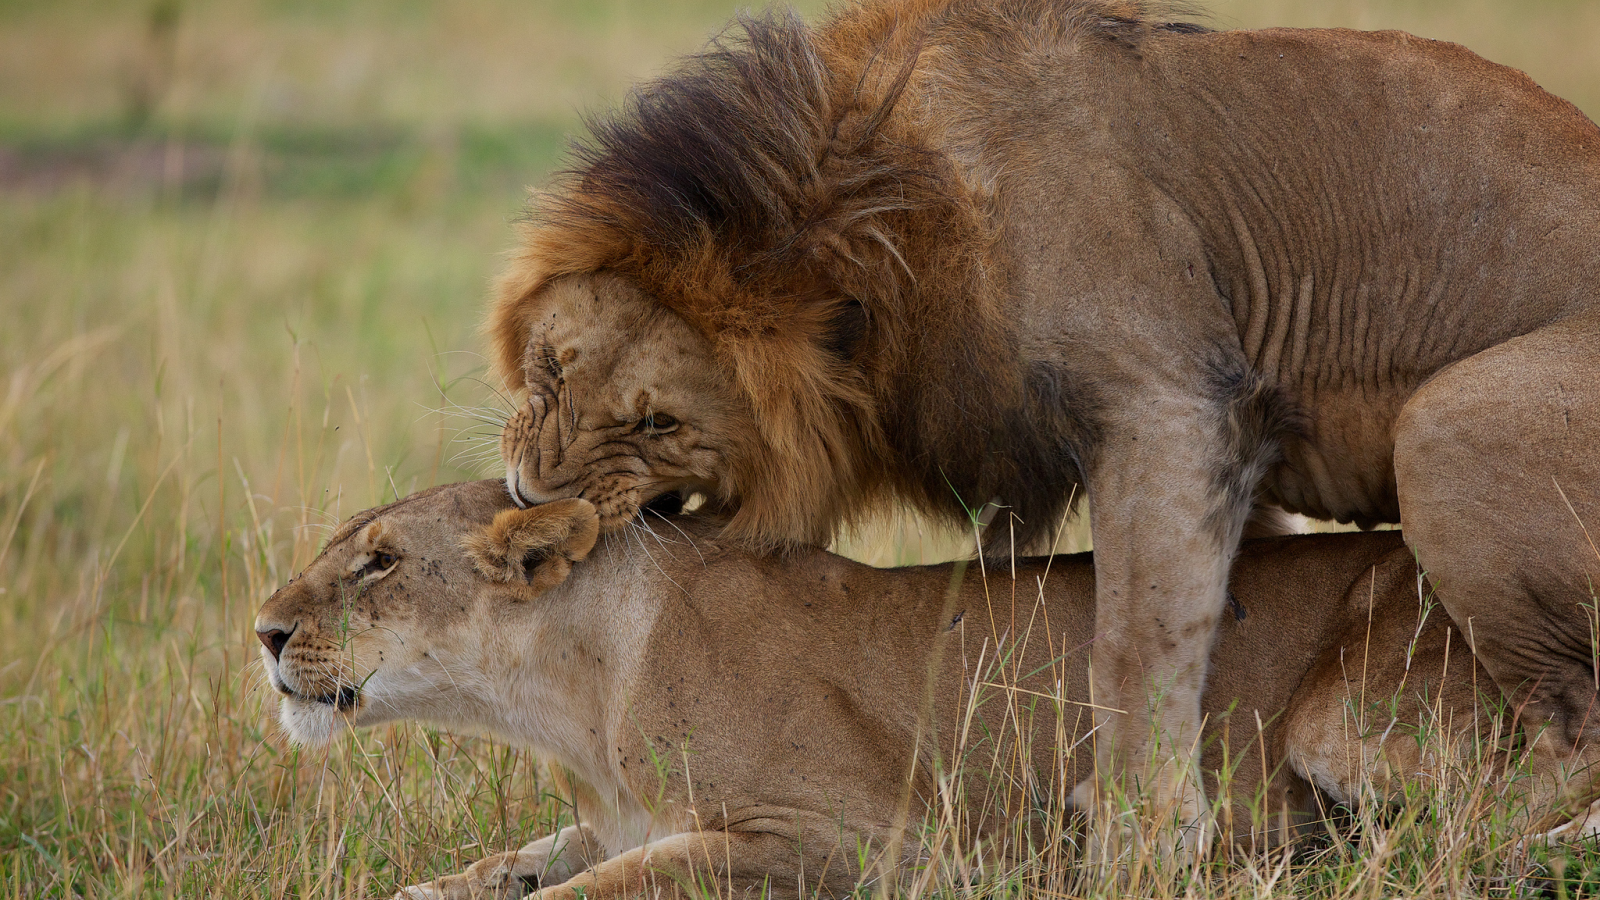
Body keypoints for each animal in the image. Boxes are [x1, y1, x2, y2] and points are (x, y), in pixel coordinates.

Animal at [259, 480, 1587, 890]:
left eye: (377, 562)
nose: (263, 632)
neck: (570, 698)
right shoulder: (608, 814)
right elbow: (515, 862)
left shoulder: (860, 840)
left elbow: (614, 887)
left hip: (1346, 710)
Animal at [492, 0, 1600, 851]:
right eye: (549, 367)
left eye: (659, 423)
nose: (529, 500)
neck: (886, 214)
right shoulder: (1081, 461)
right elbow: (1012, 612)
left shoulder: (1176, 402)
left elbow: (1135, 641)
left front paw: (1141, 837)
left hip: (1444, 422)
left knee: (1572, 727)